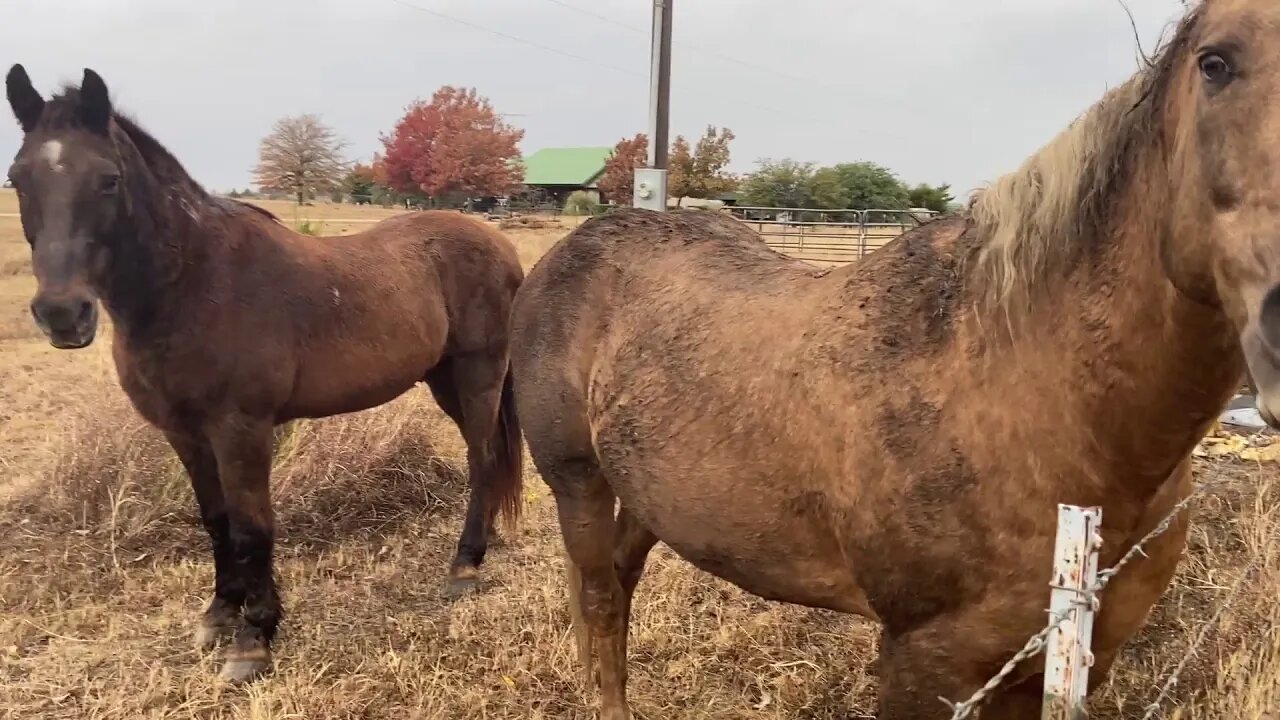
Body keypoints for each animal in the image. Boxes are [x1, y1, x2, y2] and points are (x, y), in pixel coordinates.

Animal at [6, 64, 524, 681]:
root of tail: (499, 243)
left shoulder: (242, 430)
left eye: (108, 179)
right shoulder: (185, 433)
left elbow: (252, 527)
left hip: (478, 374)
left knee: (483, 457)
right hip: (443, 379)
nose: (63, 313)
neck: (193, 283)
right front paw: (219, 614)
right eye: (17, 177)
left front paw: (254, 638)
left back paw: (465, 566)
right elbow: (216, 520)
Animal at [506, 2, 1280, 712]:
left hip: (649, 490)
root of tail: (569, 251)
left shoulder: (1066, 663)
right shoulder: (925, 663)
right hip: (577, 480)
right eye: (1213, 62)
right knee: (602, 600)